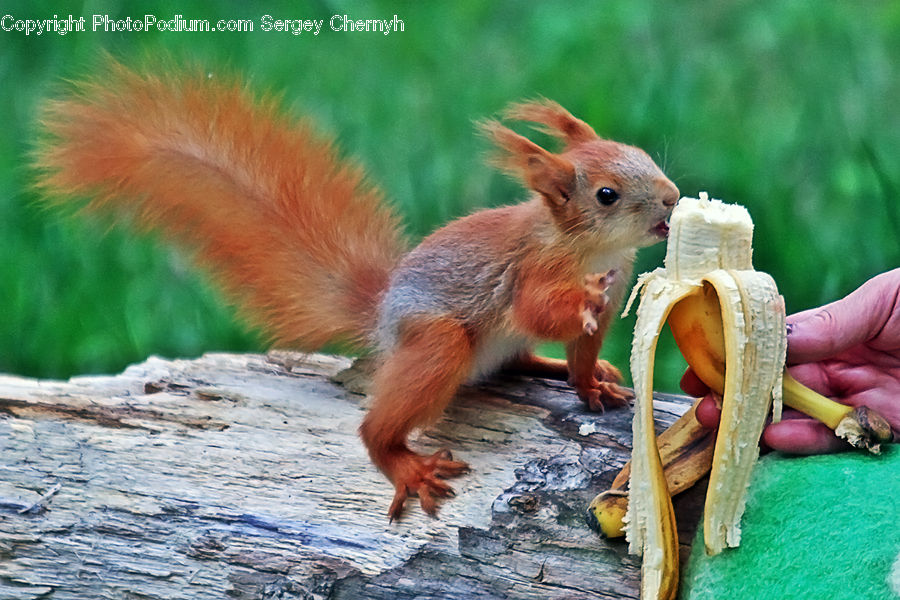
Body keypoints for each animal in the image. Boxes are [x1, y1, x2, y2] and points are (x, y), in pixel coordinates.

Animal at [35, 60, 679, 520]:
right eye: (606, 195)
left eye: (644, 157)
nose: (673, 199)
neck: (589, 249)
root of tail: (383, 317)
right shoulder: (531, 270)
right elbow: (542, 310)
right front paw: (584, 301)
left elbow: (584, 351)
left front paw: (590, 383)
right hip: (436, 340)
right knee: (382, 421)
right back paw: (402, 464)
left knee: (516, 358)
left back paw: (544, 368)